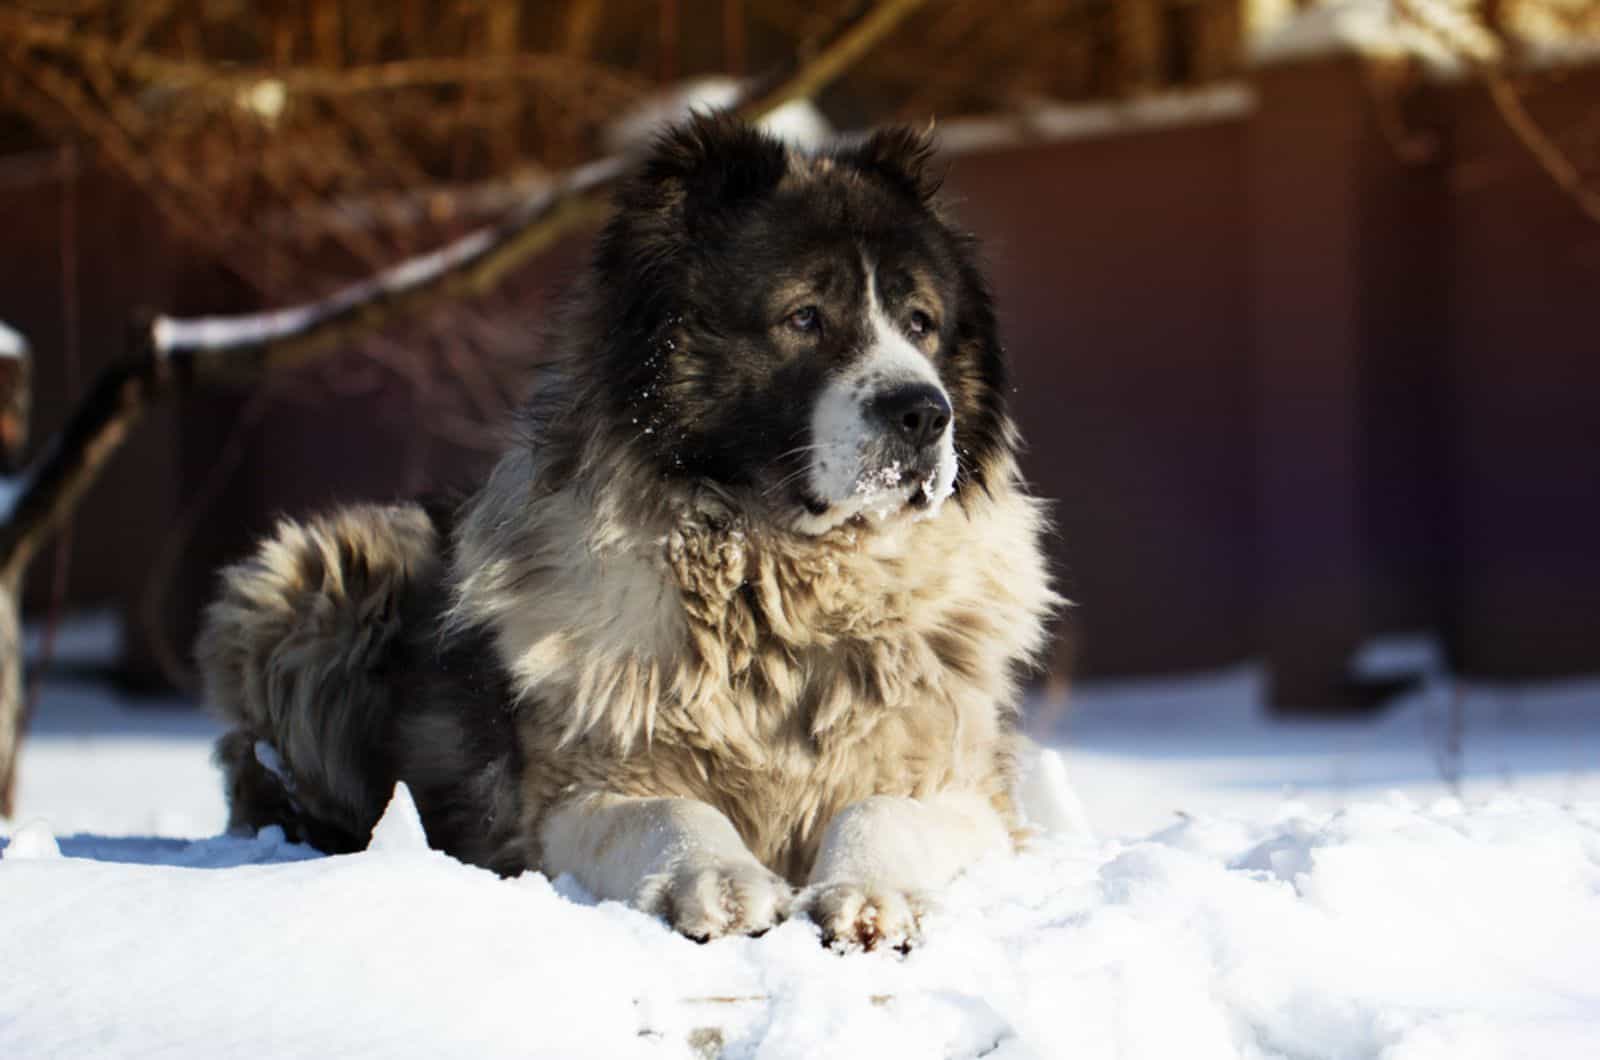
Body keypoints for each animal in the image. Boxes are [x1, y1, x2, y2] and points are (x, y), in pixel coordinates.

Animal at [193, 116, 1056, 954]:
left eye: (922, 323)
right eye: (804, 318)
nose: (923, 413)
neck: (776, 589)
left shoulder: (964, 783)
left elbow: (884, 810)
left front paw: (871, 896)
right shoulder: (573, 792)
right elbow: (671, 813)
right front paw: (720, 882)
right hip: (319, 575)